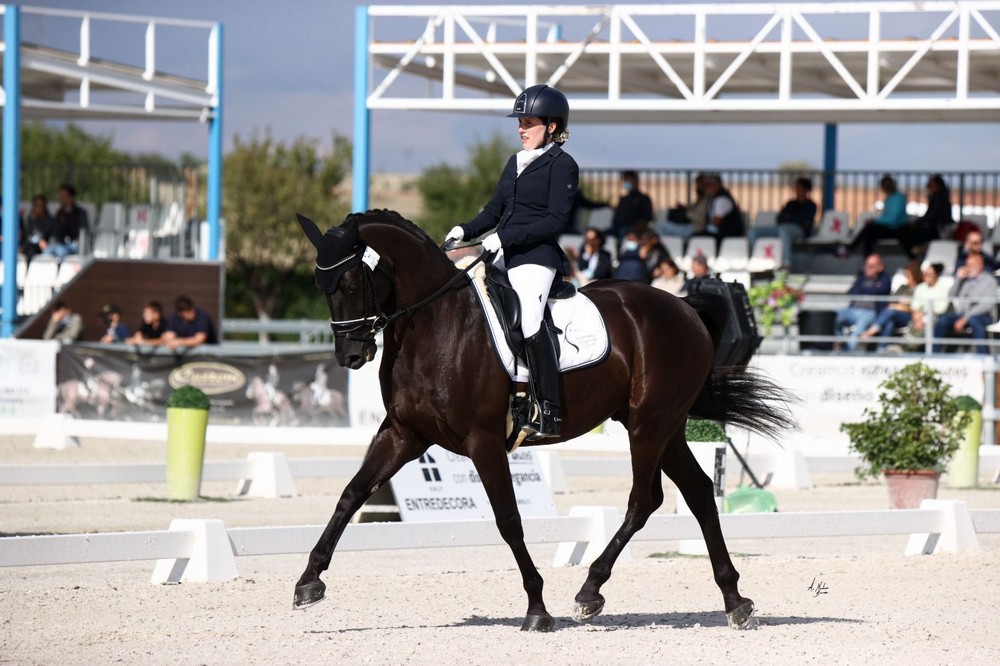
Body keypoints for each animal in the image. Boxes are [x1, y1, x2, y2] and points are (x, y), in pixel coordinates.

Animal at [293, 209, 793, 632]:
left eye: (351, 283)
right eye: (320, 286)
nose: (351, 356)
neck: (435, 324)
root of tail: (685, 308)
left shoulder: (482, 440)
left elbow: (508, 518)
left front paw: (536, 608)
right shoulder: (404, 433)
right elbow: (351, 494)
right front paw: (308, 581)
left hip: (649, 425)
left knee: (643, 500)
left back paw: (590, 591)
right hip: (663, 428)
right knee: (699, 492)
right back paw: (734, 601)